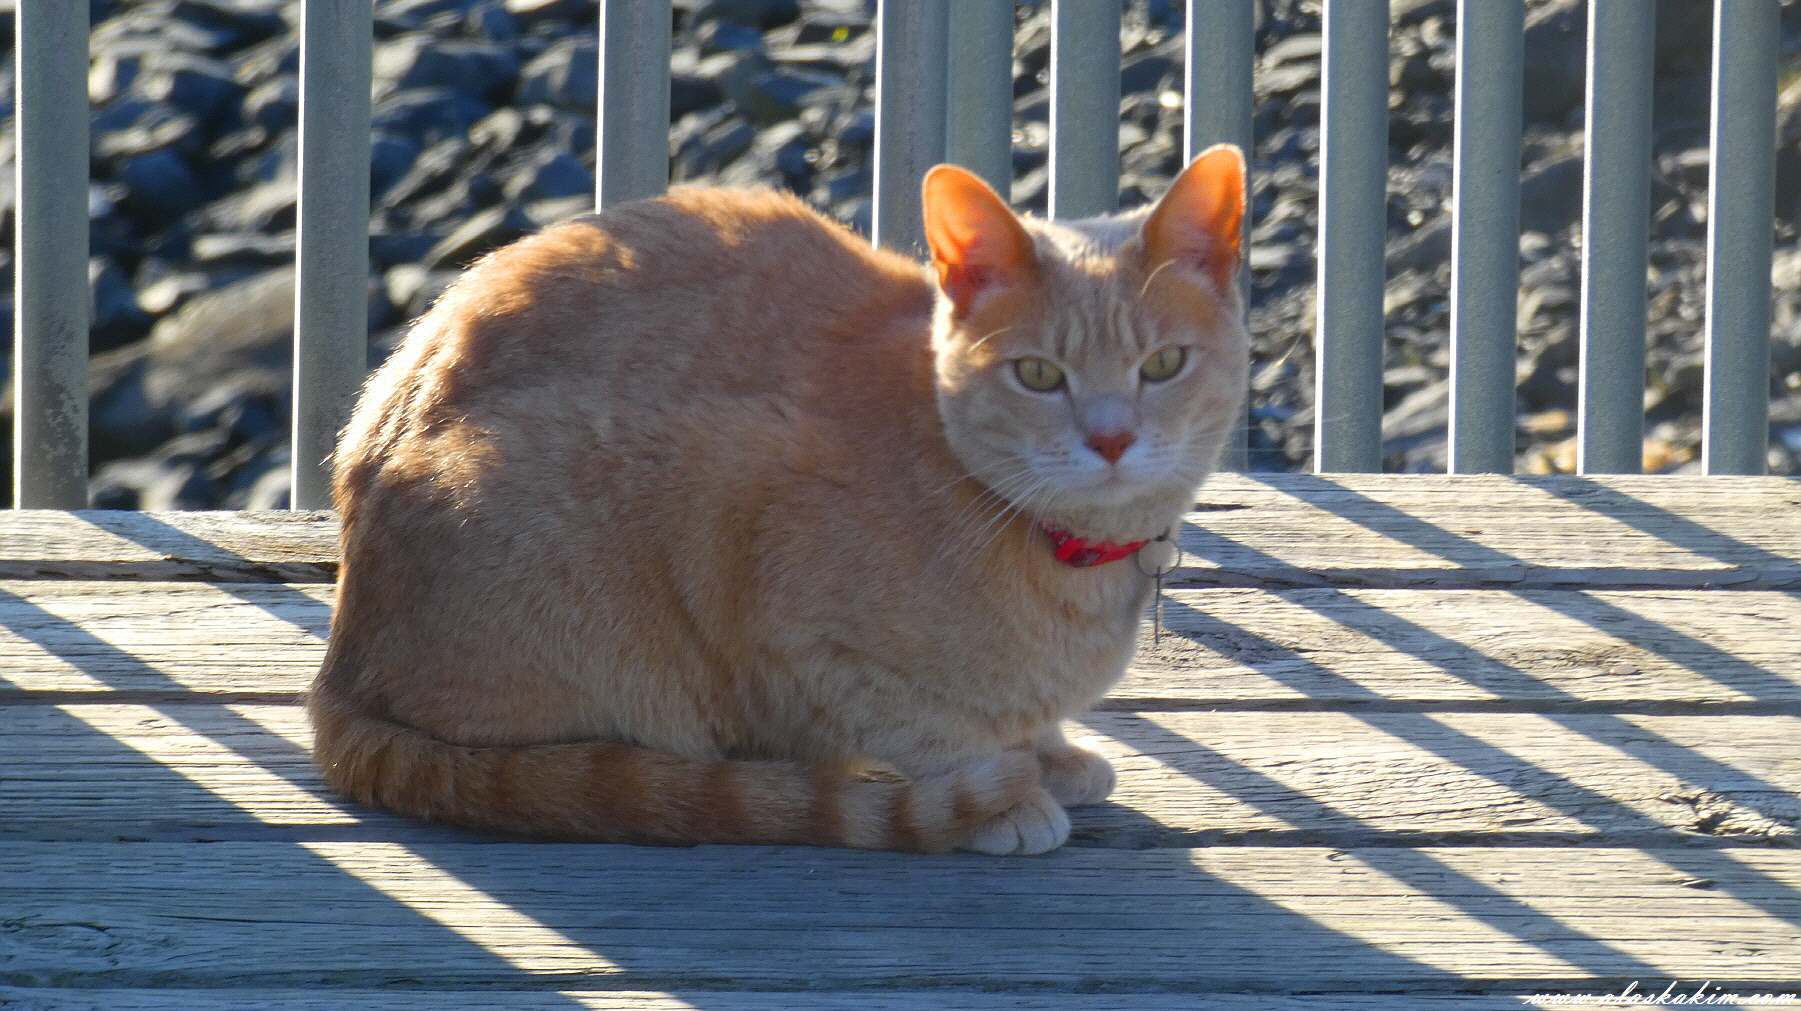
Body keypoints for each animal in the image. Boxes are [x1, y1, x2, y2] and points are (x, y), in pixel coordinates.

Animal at [306, 144, 1248, 855]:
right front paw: (999, 796)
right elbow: (924, 732)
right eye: (1038, 375)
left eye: (1163, 364)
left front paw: (1048, 754)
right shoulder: (791, 619)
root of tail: (342, 666)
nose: (1111, 439)